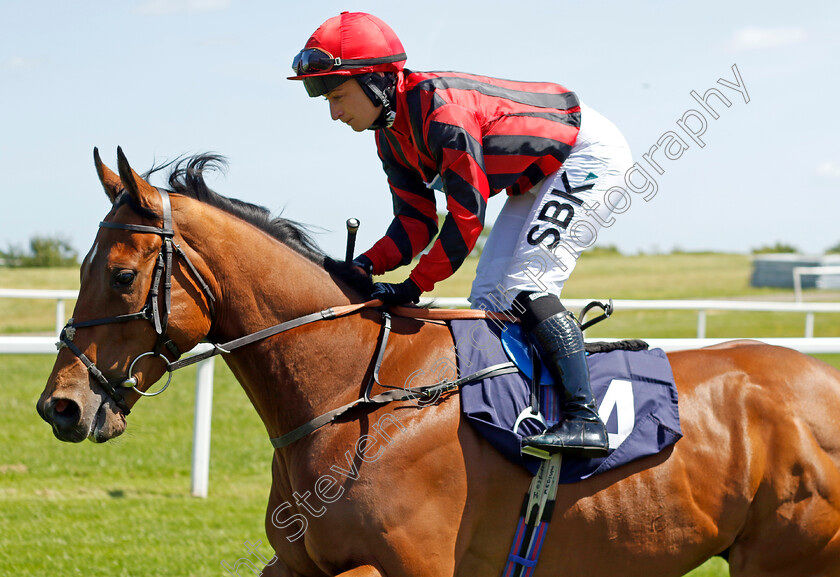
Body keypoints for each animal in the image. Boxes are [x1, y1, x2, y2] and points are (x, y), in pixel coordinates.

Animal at [39, 150, 840, 576]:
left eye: (119, 275)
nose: (61, 404)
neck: (354, 392)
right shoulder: (299, 562)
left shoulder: (412, 566)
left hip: (789, 557)